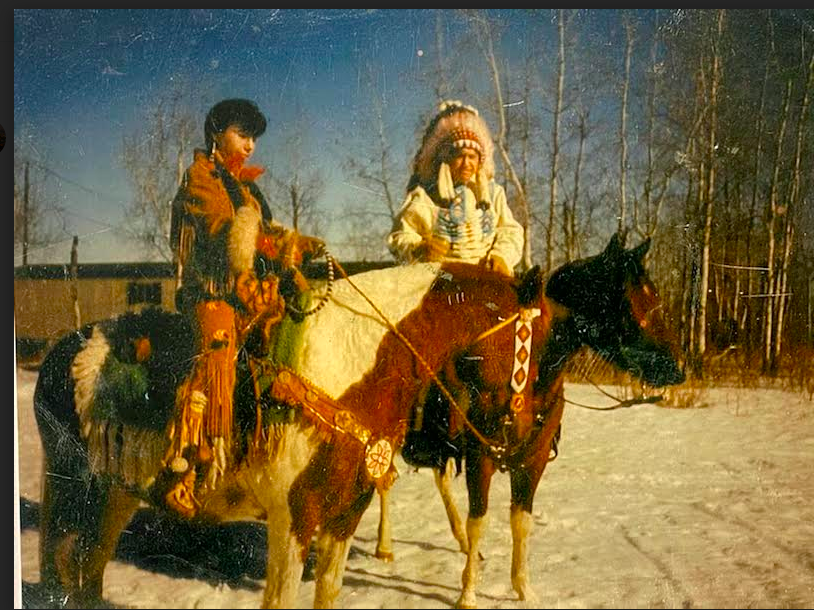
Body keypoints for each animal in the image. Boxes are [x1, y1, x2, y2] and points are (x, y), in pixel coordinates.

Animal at [33, 255, 556, 604]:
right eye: (534, 340)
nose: (525, 430)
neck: (352, 361)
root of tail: (62, 353)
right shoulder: (293, 517)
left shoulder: (346, 515)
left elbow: (328, 592)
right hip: (78, 492)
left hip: (115, 495)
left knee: (87, 571)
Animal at [372, 230, 684, 604]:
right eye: (628, 300)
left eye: (655, 296)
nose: (677, 368)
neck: (527, 368)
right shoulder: (480, 456)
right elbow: (480, 519)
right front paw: (468, 594)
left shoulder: (533, 460)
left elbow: (521, 521)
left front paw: (524, 588)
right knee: (385, 481)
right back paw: (385, 546)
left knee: (437, 479)